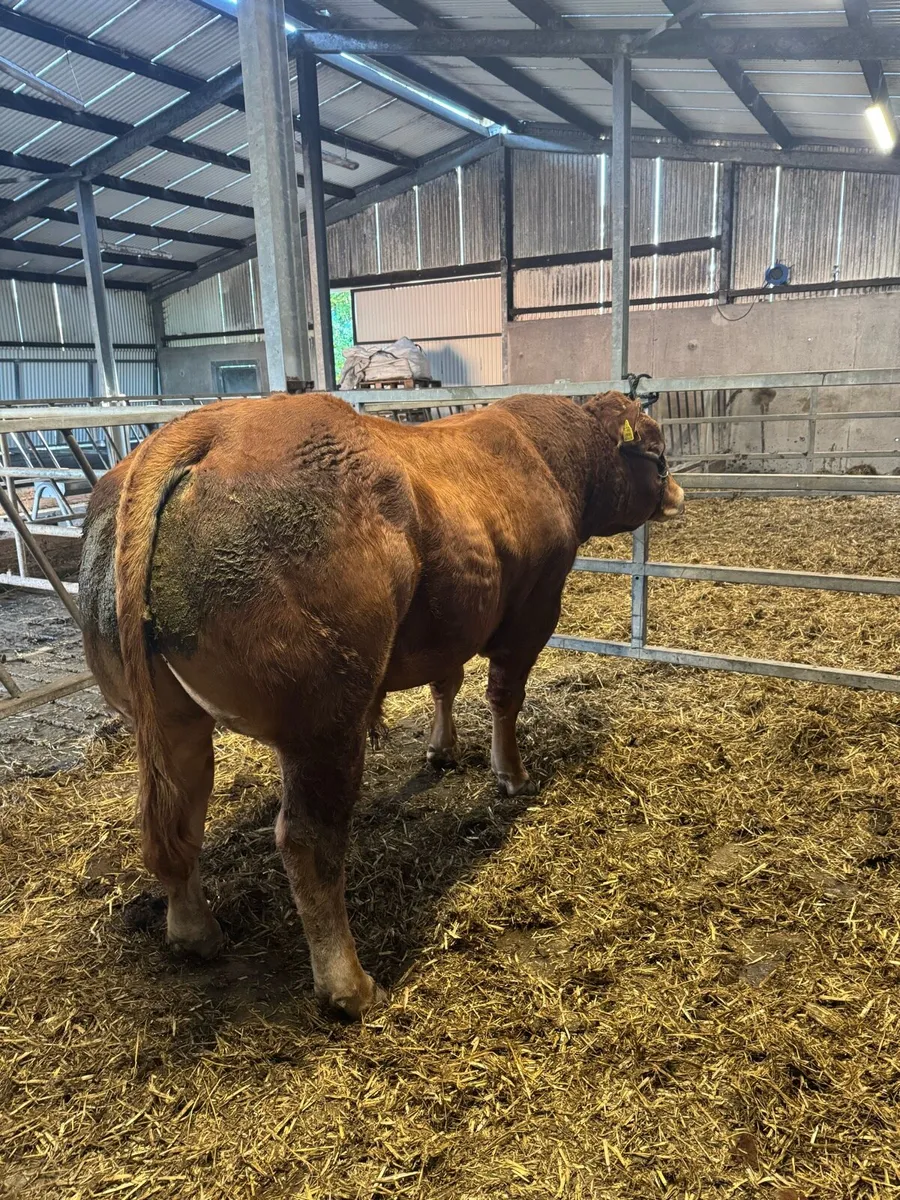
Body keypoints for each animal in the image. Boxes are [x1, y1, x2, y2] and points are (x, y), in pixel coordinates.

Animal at [79, 389, 684, 1019]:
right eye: (655, 445)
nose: (676, 492)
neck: (552, 458)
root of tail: (208, 426)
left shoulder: (450, 625)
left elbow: (447, 683)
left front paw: (442, 750)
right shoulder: (533, 610)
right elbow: (503, 696)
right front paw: (512, 775)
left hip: (170, 716)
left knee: (177, 816)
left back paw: (195, 933)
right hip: (324, 718)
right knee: (307, 840)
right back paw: (351, 986)